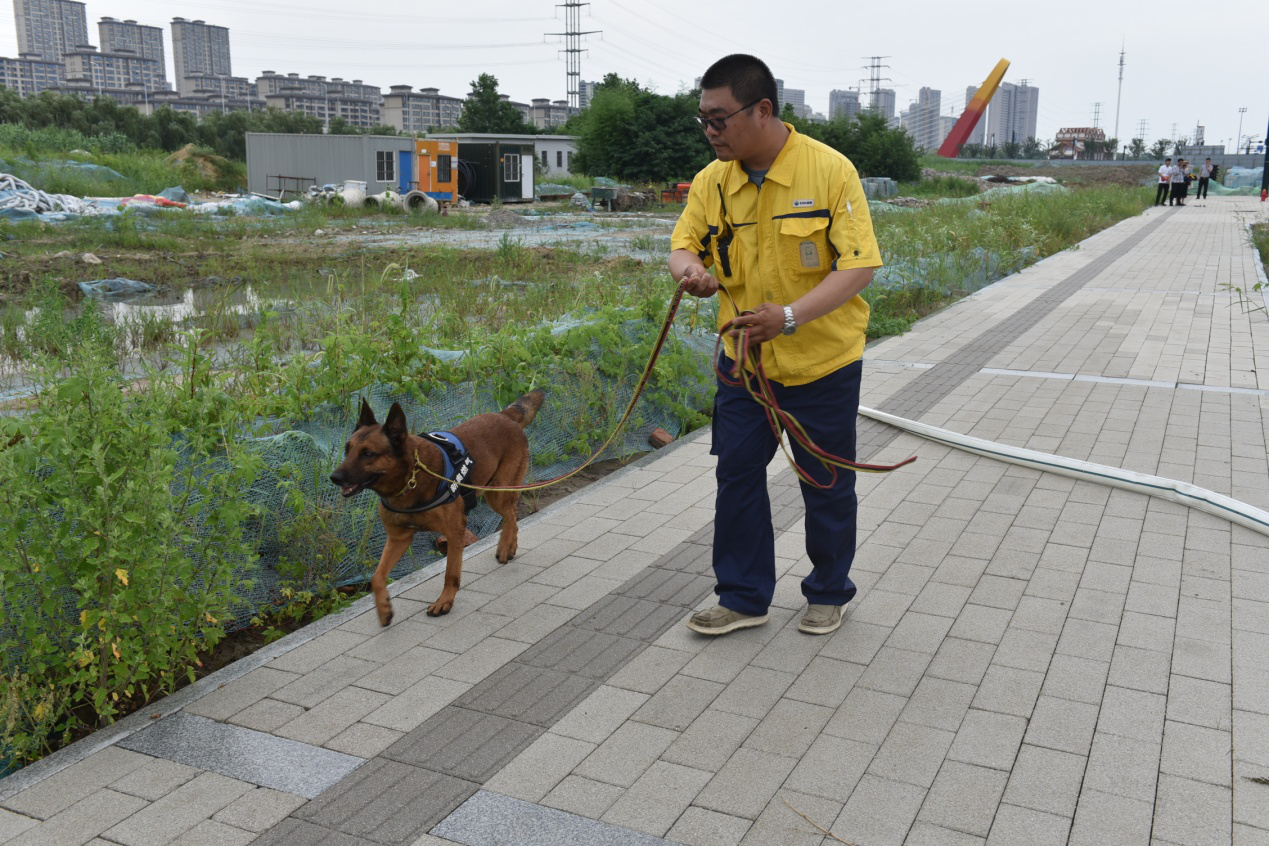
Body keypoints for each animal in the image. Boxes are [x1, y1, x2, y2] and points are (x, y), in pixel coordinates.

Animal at [329, 390, 544, 625]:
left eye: (368, 454)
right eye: (347, 450)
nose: (334, 477)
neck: (410, 478)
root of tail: (505, 415)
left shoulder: (454, 531)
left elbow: (451, 573)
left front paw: (444, 602)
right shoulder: (398, 539)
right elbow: (377, 576)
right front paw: (384, 609)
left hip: (497, 494)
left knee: (511, 514)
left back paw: (506, 546)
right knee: (511, 514)